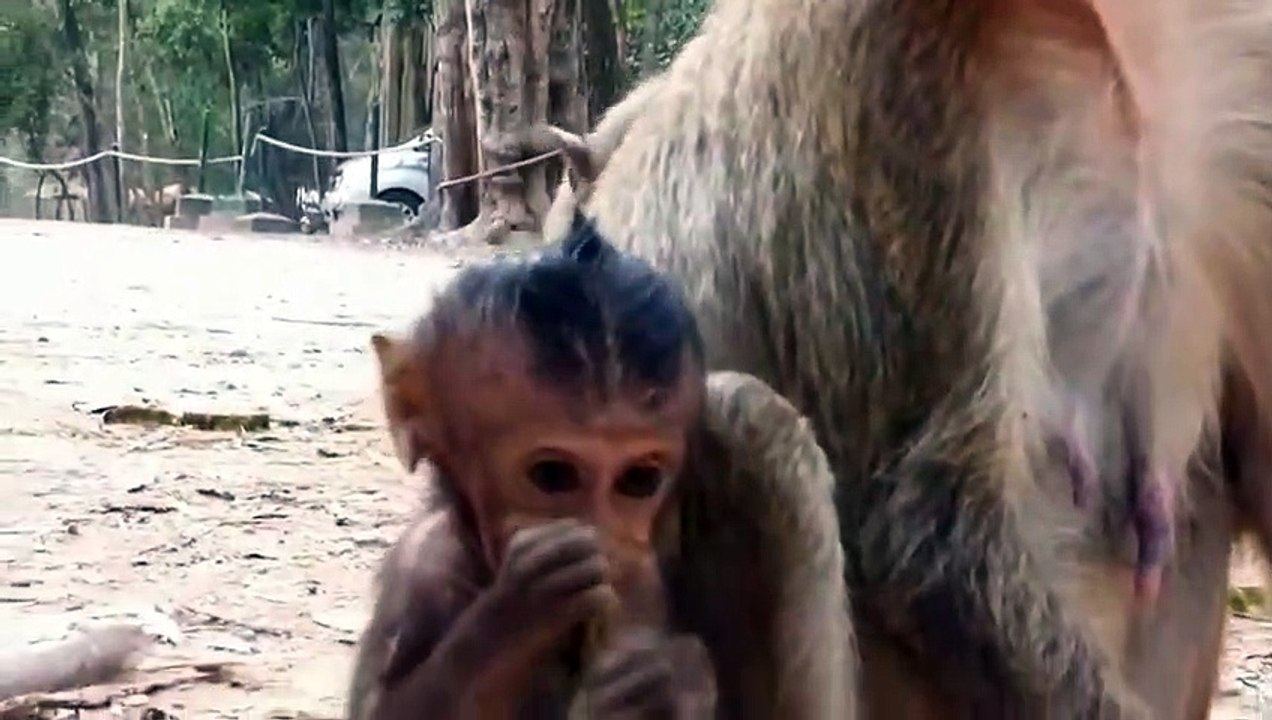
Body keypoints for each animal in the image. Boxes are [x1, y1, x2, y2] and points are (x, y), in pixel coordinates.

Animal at [346, 212, 855, 719]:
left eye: (640, 480)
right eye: (552, 476)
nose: (608, 545)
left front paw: (672, 681)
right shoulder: (423, 566)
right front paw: (523, 601)